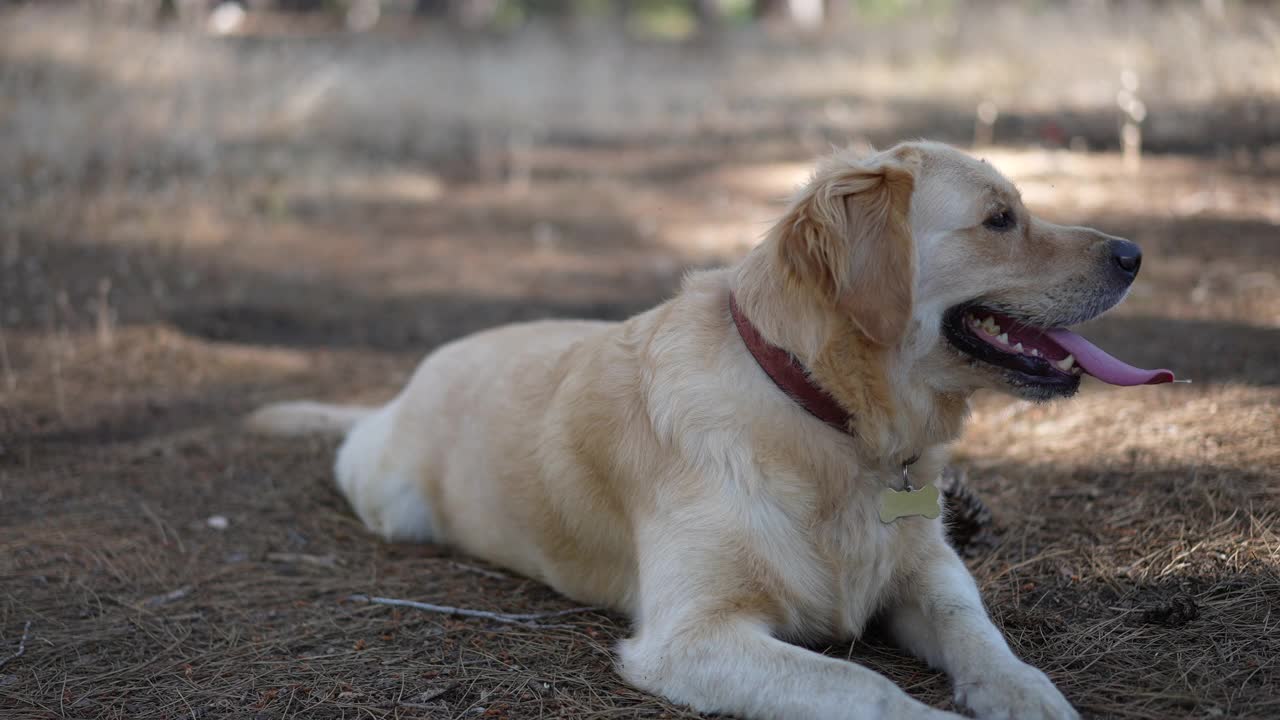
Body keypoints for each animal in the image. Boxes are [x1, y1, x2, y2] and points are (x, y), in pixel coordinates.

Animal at [247, 141, 1172, 717]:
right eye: (999, 219)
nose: (1134, 253)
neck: (825, 417)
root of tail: (401, 389)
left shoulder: (928, 571)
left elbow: (980, 634)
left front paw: (1026, 692)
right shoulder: (692, 637)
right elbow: (865, 690)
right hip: (392, 501)